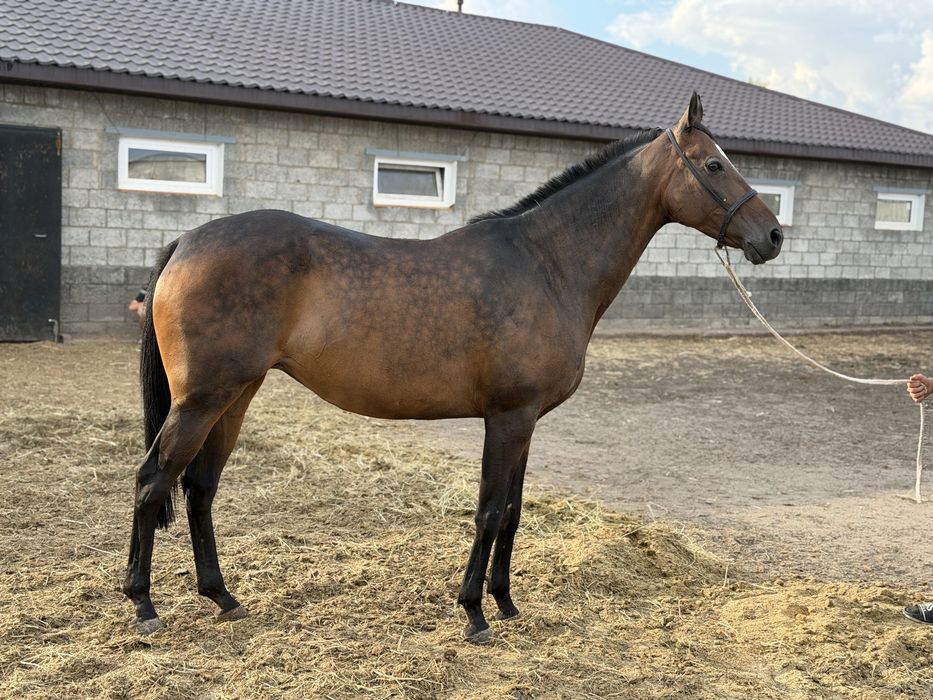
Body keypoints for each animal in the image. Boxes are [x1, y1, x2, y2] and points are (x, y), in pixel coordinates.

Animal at [123, 93, 783, 642]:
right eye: (715, 165)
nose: (772, 235)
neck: (547, 263)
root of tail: (186, 242)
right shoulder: (508, 417)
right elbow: (489, 510)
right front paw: (473, 614)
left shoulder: (526, 421)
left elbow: (512, 511)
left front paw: (507, 603)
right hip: (203, 400)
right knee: (153, 480)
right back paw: (144, 606)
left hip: (235, 397)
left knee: (200, 487)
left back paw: (222, 597)